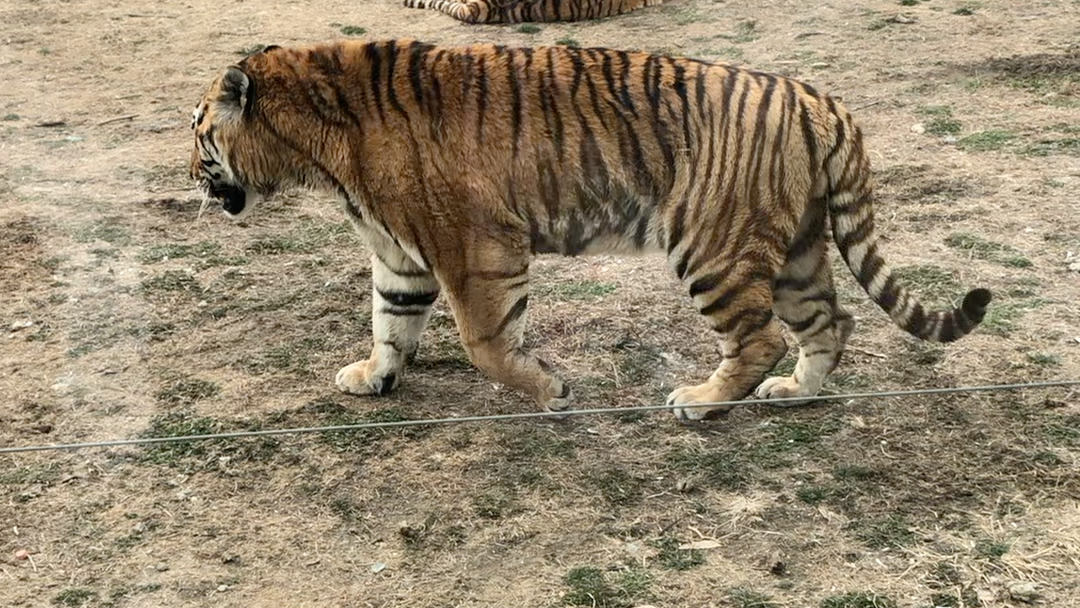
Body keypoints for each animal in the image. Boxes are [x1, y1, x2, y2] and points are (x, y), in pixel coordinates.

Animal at [190, 39, 989, 423]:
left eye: (197, 133)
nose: (188, 175)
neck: (315, 152)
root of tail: (816, 96)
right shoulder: (401, 254)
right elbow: (391, 323)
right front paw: (373, 378)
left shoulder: (475, 248)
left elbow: (484, 344)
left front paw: (550, 392)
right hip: (796, 249)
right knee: (831, 323)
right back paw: (795, 392)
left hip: (713, 246)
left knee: (760, 337)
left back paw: (702, 402)